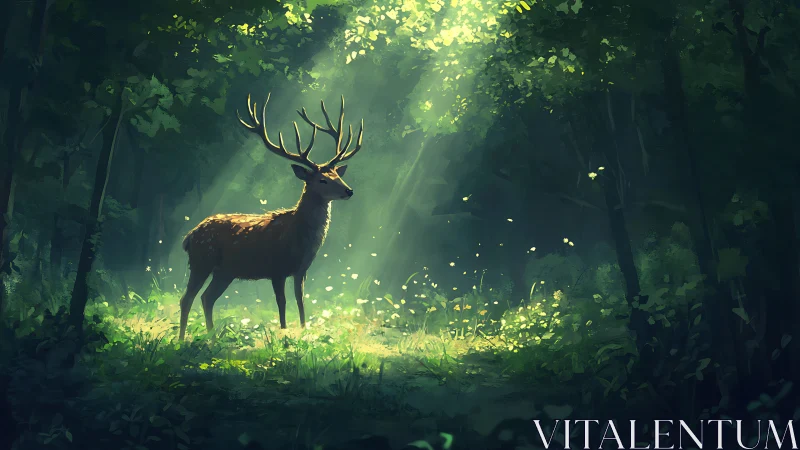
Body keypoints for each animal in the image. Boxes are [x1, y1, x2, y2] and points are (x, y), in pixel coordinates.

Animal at [177, 92, 365, 341]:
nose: (349, 190)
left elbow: (300, 302)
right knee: (187, 298)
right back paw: (181, 339)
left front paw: (304, 332)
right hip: (201, 260)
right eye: (322, 180)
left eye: (337, 174)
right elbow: (282, 303)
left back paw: (212, 337)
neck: (298, 238)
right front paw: (284, 336)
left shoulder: (301, 270)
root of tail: (189, 236)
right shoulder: (276, 268)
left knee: (207, 298)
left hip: (224, 271)